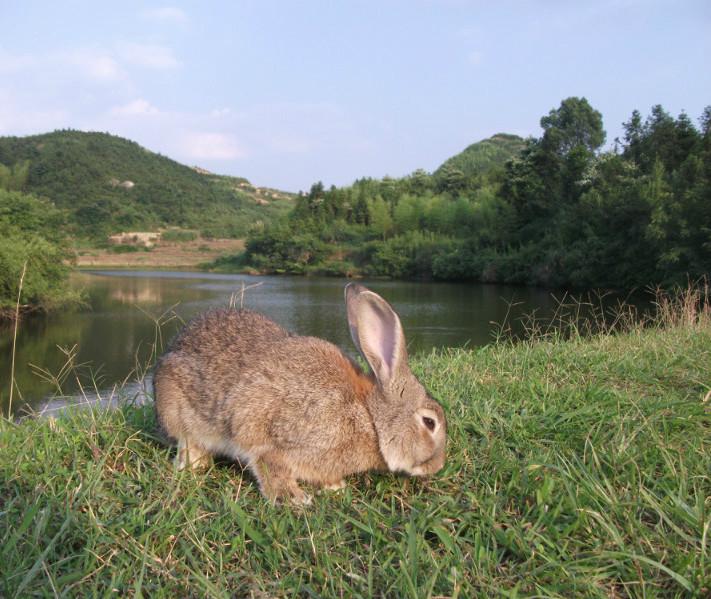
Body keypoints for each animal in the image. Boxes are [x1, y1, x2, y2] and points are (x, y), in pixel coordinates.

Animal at [153, 284, 448, 504]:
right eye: (429, 422)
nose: (437, 466)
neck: (370, 418)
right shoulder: (272, 434)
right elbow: (267, 462)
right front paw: (293, 498)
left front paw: (335, 486)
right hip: (179, 413)